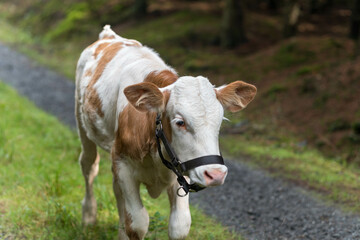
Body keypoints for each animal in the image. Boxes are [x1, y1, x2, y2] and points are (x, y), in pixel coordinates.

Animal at [75, 25, 256, 239]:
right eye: (180, 122)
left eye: (219, 122)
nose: (215, 174)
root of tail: (109, 35)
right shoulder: (123, 163)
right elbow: (137, 223)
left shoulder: (183, 167)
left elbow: (179, 225)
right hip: (83, 126)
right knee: (89, 165)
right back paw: (88, 216)